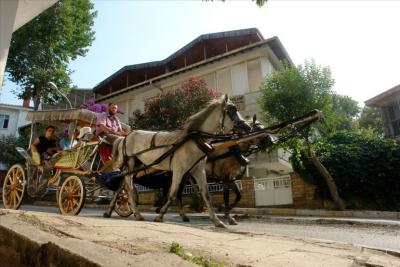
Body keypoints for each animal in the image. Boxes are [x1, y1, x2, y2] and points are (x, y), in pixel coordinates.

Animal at [104, 95, 245, 227]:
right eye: (231, 111)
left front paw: (217, 221)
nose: (246, 127)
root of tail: (124, 138)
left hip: (136, 165)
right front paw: (160, 215)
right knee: (129, 187)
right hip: (130, 163)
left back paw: (111, 211)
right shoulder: (179, 170)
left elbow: (206, 195)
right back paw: (137, 214)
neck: (192, 140)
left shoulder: (198, 170)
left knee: (123, 185)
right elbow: (173, 193)